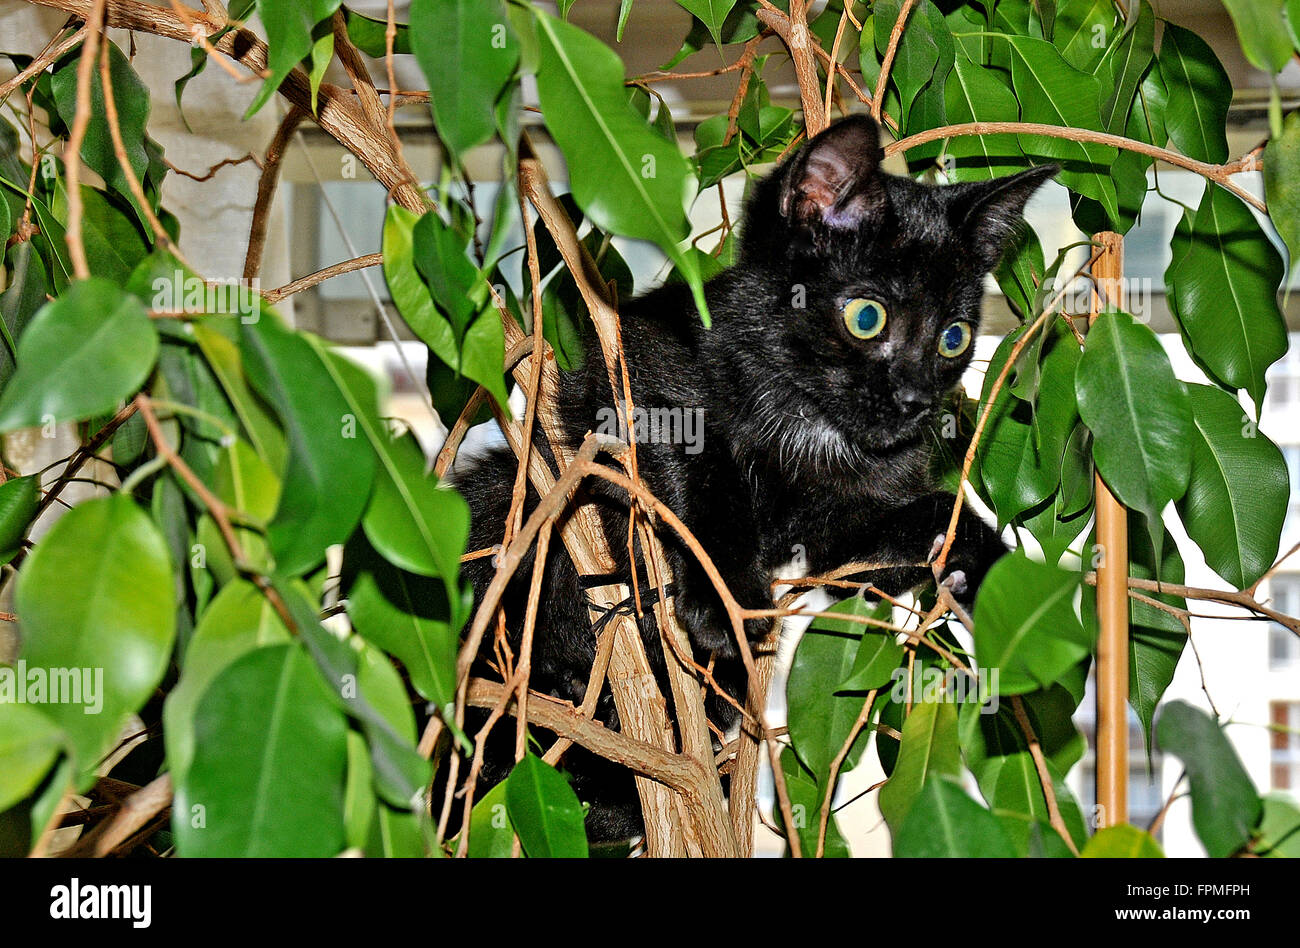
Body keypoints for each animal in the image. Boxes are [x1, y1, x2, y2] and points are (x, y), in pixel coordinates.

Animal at [452, 114, 1050, 837]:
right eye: (867, 317)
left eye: (954, 338)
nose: (915, 401)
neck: (806, 412)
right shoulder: (638, 367)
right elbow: (706, 475)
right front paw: (724, 600)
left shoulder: (840, 531)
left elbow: (920, 520)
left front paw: (990, 575)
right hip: (499, 511)